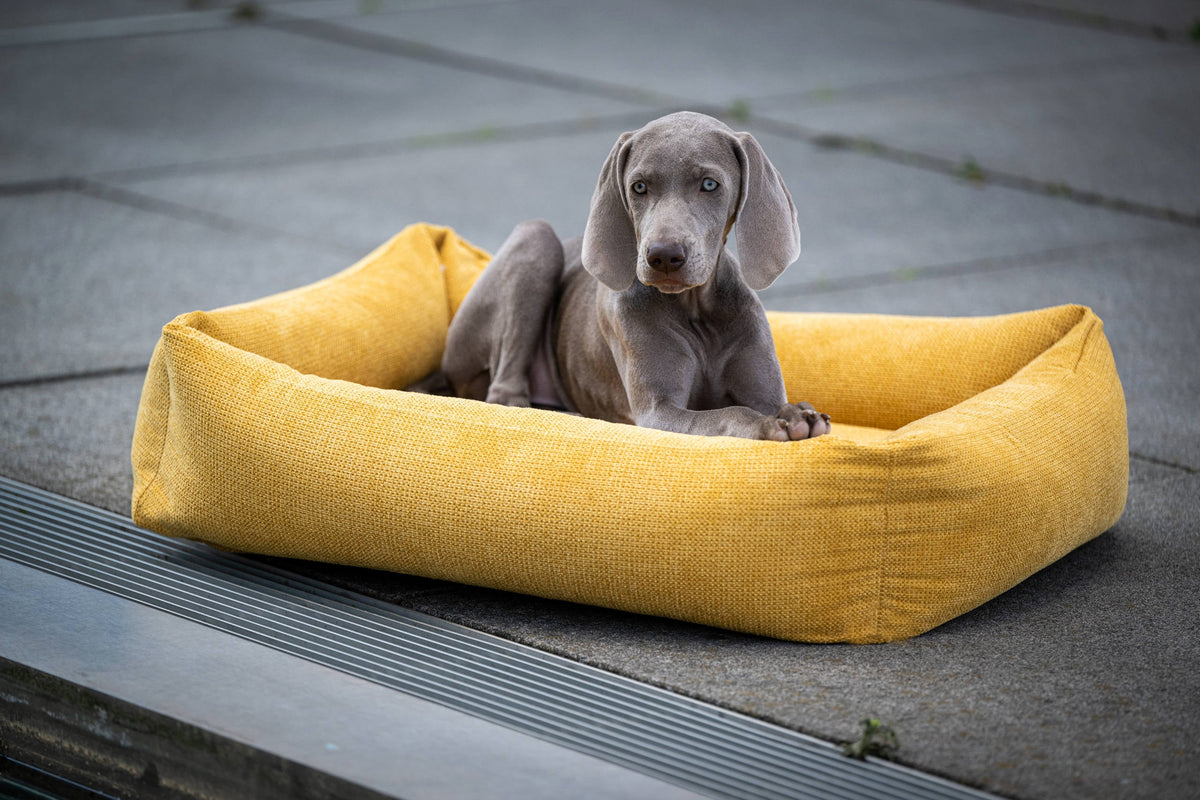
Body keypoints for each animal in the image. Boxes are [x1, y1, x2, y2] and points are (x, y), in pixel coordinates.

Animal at [424, 110, 835, 441]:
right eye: (639, 186)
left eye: (709, 184)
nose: (664, 256)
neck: (695, 310)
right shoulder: (658, 412)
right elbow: (728, 413)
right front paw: (769, 425)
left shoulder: (764, 390)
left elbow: (766, 403)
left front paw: (800, 415)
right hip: (534, 239)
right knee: (504, 395)